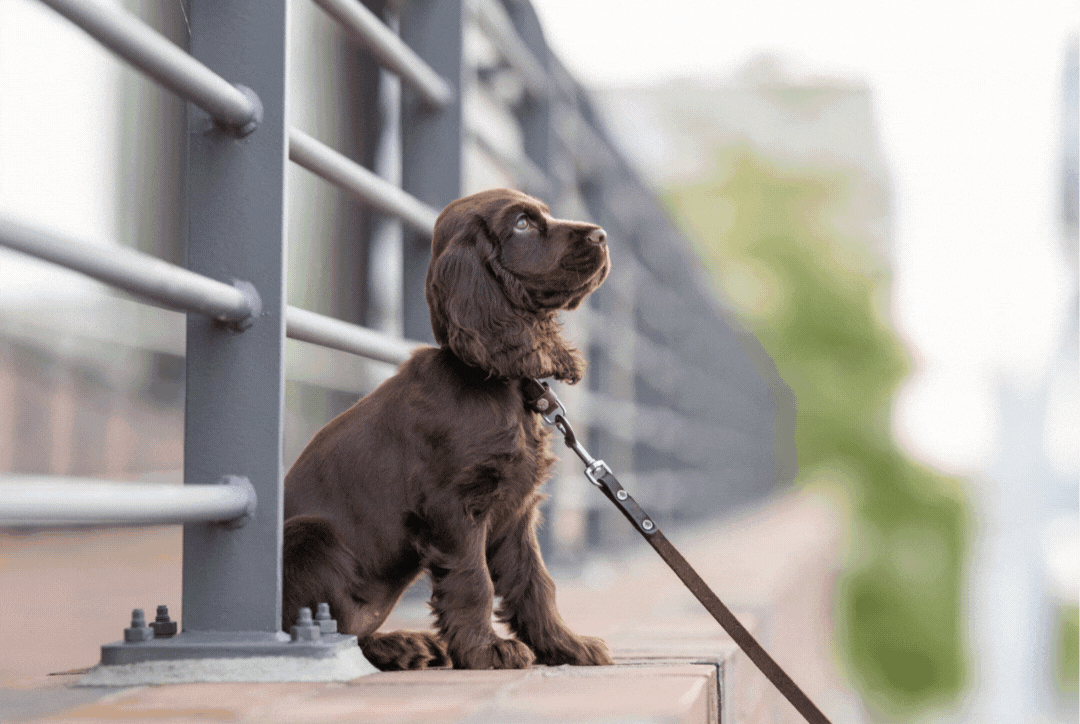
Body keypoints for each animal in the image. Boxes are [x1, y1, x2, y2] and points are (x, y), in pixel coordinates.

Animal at [282, 188, 613, 670]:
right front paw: (486, 650)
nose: (602, 236)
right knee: (329, 631)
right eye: (522, 224)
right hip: (313, 536)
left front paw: (564, 645)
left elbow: (535, 582)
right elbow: (474, 581)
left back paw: (406, 644)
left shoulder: (516, 513)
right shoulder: (453, 506)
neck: (492, 380)